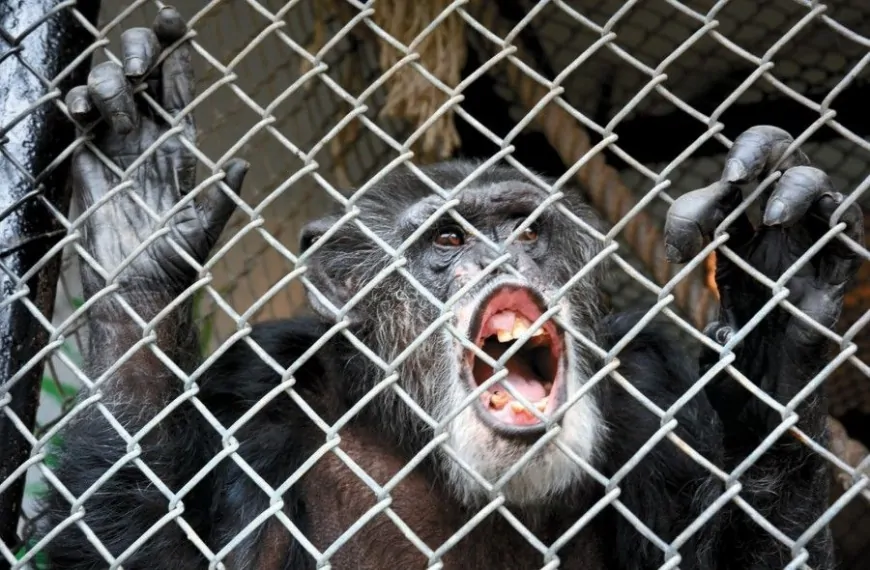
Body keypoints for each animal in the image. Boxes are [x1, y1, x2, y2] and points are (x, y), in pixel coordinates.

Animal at [32, 5, 864, 568]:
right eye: (449, 240)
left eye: (525, 233)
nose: (501, 261)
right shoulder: (255, 387)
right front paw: (138, 220)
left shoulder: (657, 383)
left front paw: (778, 290)